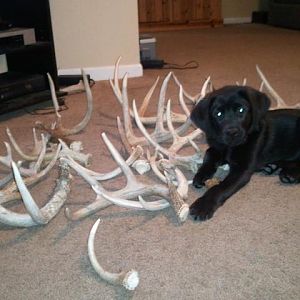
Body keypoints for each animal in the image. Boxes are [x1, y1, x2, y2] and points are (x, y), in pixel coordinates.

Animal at [190, 85, 300, 221]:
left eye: (241, 110)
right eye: (218, 114)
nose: (232, 132)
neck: (230, 147)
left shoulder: (242, 169)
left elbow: (219, 188)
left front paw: (203, 205)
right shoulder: (216, 147)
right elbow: (209, 155)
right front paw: (201, 175)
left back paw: (290, 175)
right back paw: (271, 167)